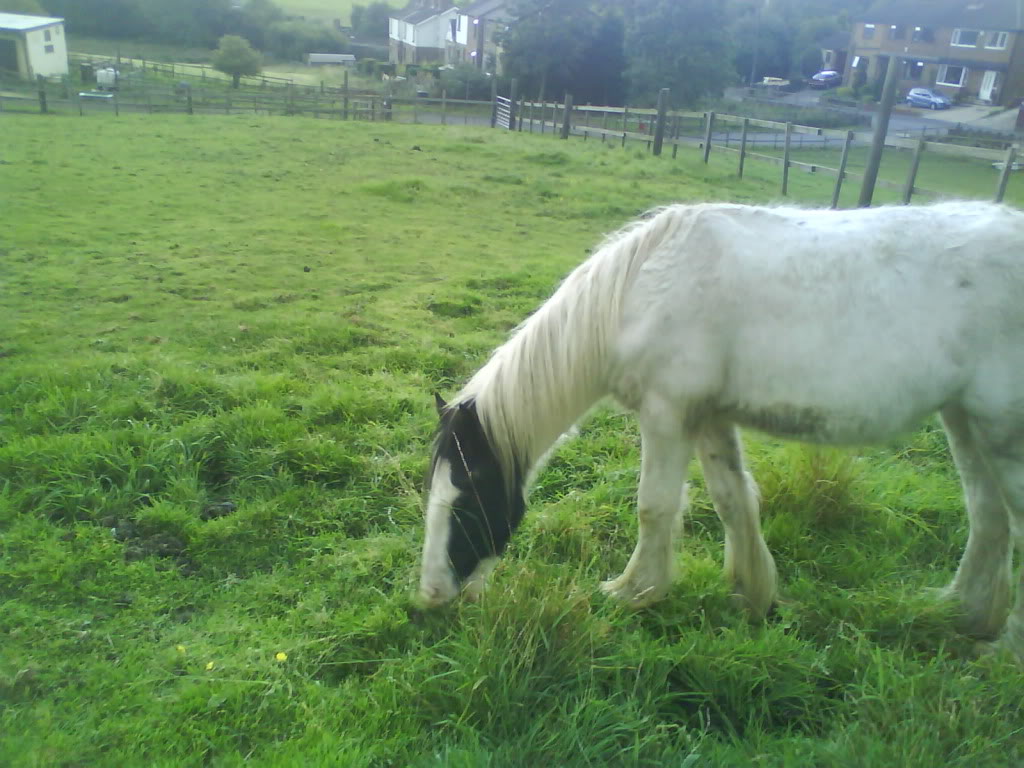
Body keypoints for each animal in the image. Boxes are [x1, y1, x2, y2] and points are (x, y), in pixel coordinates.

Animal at [419, 201, 1024, 659]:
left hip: (1000, 431)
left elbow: (655, 507)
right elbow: (735, 501)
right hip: (966, 421)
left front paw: (634, 592)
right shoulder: (708, 417)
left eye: (468, 500)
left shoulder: (667, 414)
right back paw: (962, 612)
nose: (431, 596)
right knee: (988, 519)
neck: (641, 289)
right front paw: (752, 596)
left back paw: (1000, 651)